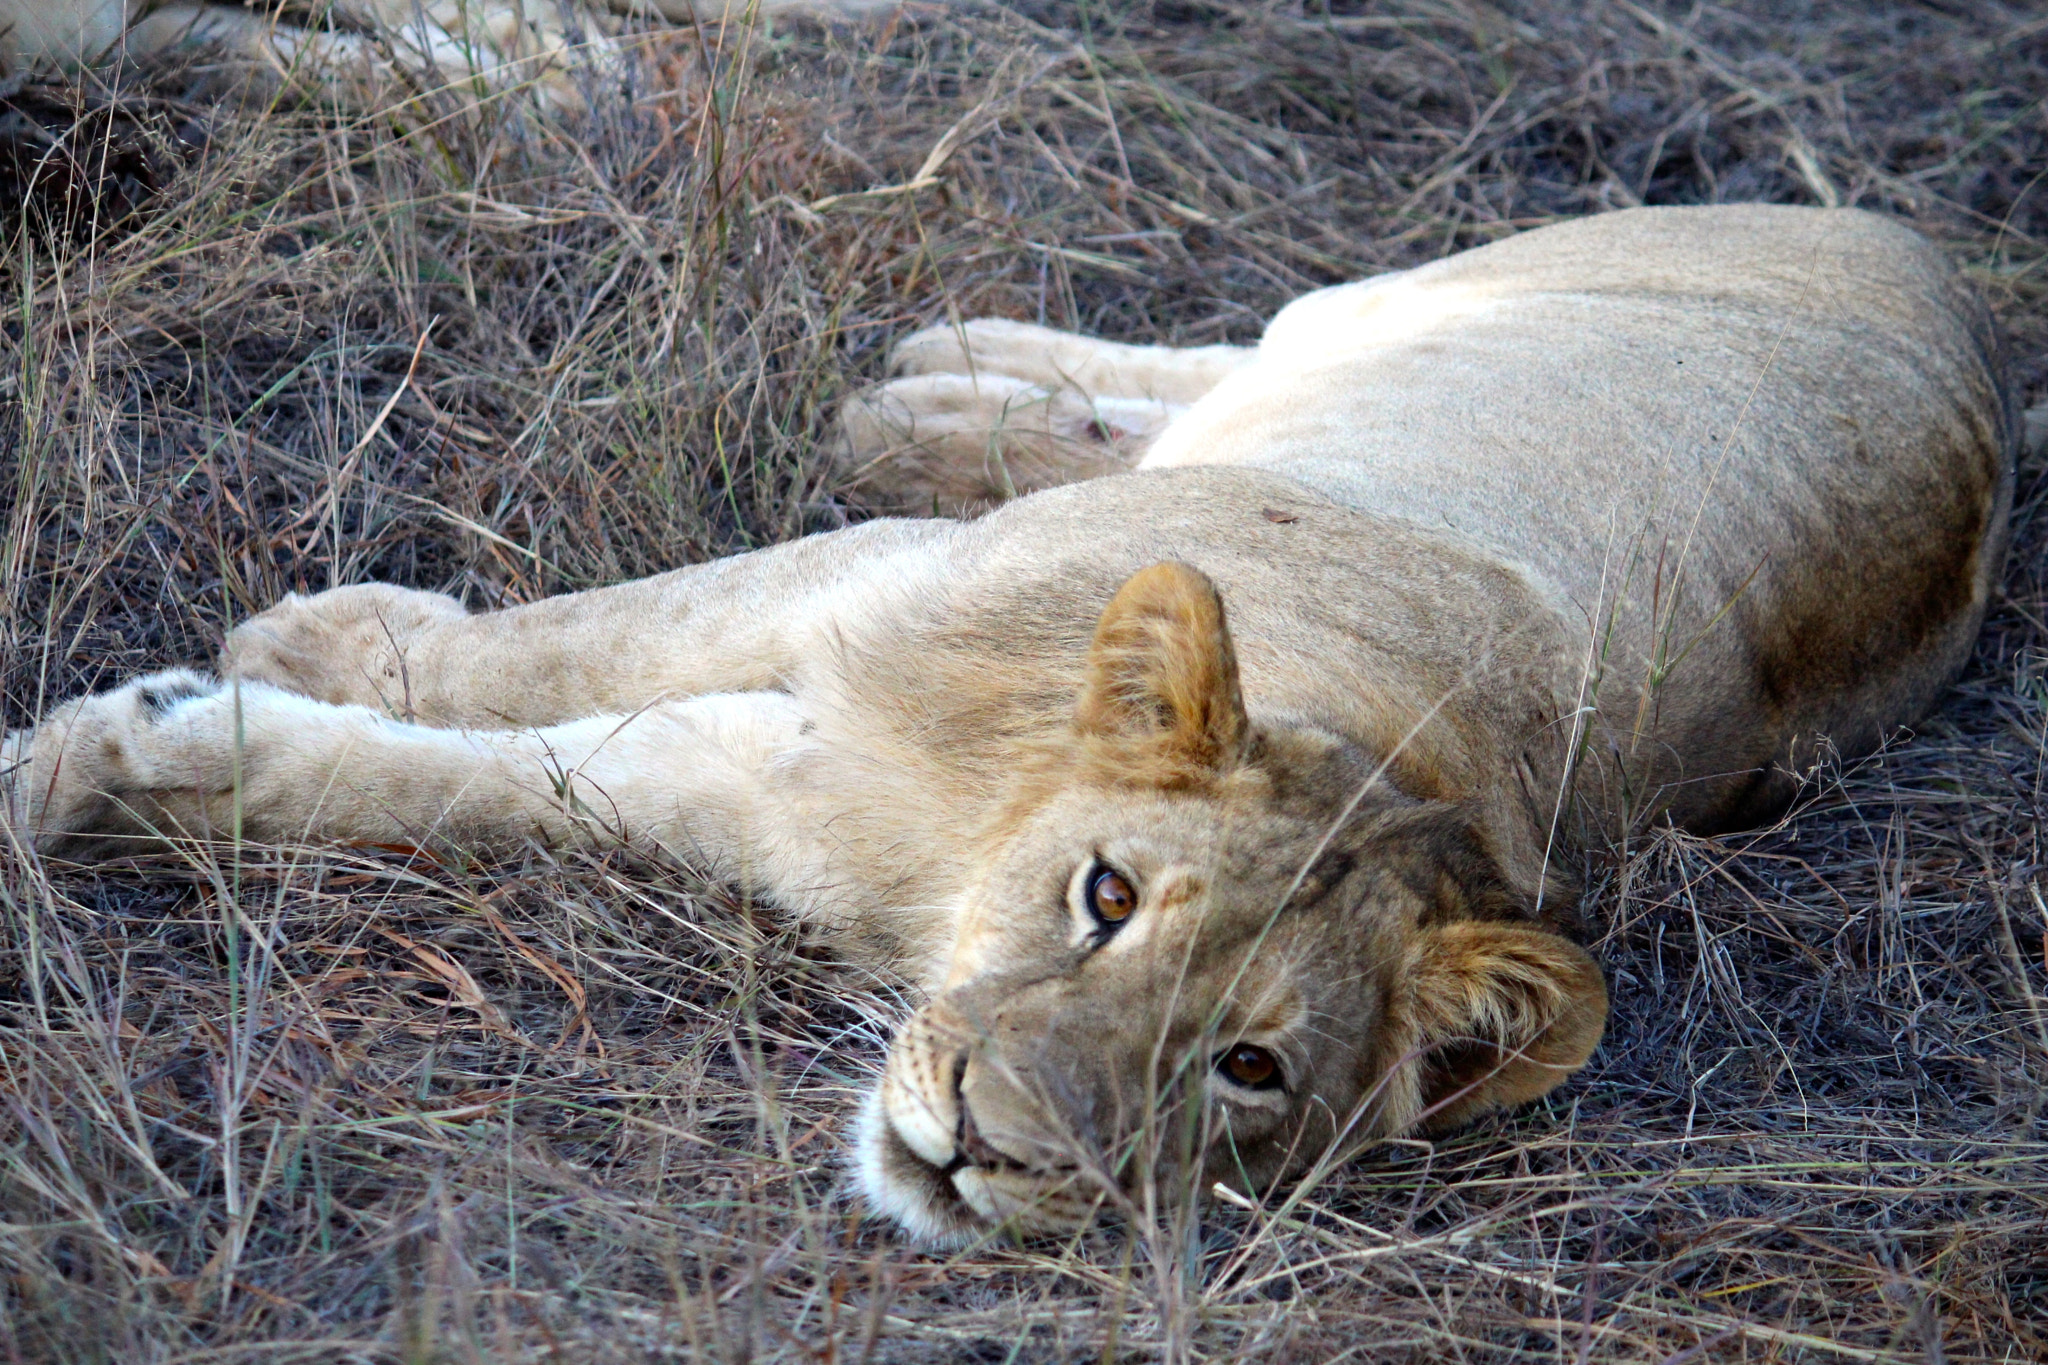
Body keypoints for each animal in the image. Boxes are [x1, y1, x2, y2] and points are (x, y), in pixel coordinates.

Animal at [0, 205, 2020, 1243]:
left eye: (1247, 1071)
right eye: (1106, 897)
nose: (990, 1155)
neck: (960, 848)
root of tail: (1943, 274)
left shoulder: (755, 782)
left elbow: (483, 786)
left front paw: (165, 751)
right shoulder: (837, 599)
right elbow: (548, 651)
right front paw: (243, 676)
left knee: (1183, 396)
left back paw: (924, 401)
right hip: (1424, 298)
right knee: (1223, 356)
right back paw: (925, 386)